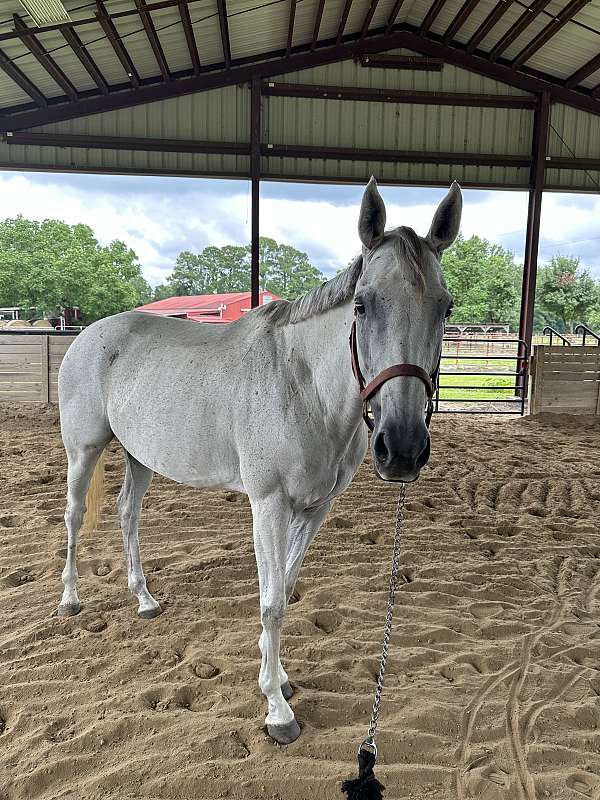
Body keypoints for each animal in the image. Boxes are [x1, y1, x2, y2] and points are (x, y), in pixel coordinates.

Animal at [57, 178, 460, 748]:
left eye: (444, 308)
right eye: (361, 305)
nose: (401, 448)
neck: (304, 387)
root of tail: (88, 335)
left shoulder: (315, 508)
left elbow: (286, 589)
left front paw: (282, 679)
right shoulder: (268, 505)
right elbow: (270, 602)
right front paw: (276, 709)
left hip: (140, 457)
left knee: (127, 514)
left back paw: (144, 599)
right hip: (84, 449)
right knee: (74, 516)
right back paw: (70, 599)